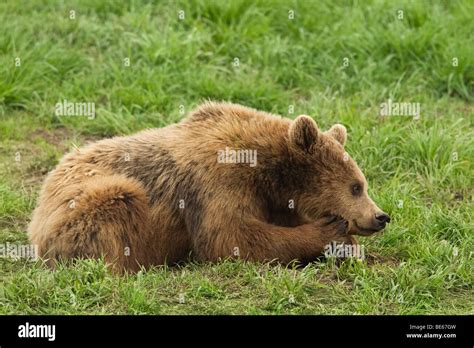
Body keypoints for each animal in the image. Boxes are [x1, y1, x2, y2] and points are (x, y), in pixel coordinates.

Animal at [30, 101, 392, 272]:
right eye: (356, 186)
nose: (381, 216)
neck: (265, 171)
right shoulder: (216, 183)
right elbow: (230, 237)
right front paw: (330, 233)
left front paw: (348, 248)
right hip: (87, 206)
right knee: (119, 205)